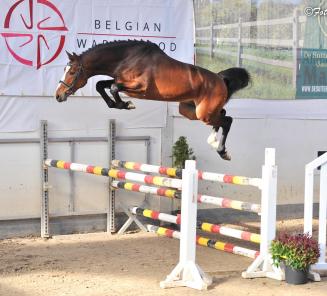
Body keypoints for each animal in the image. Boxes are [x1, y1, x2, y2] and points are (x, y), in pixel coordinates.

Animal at [55, 40, 251, 161]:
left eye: (72, 72)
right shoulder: (120, 80)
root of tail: (220, 79)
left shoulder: (139, 87)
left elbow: (113, 88)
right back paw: (213, 141)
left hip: (203, 113)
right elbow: (101, 85)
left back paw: (222, 151)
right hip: (191, 111)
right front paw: (119, 105)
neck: (126, 58)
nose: (58, 95)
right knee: (222, 114)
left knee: (227, 120)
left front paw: (125, 104)